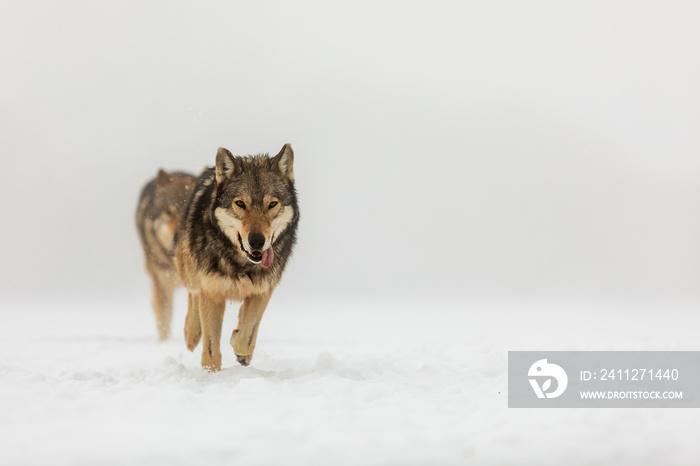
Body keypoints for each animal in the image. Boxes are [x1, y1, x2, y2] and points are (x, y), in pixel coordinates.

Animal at [176, 144, 300, 370]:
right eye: (240, 203)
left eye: (272, 204)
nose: (257, 241)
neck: (242, 264)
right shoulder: (212, 291)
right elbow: (211, 349)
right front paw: (210, 373)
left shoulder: (263, 289)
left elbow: (246, 338)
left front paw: (238, 345)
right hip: (189, 270)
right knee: (193, 295)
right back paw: (192, 334)